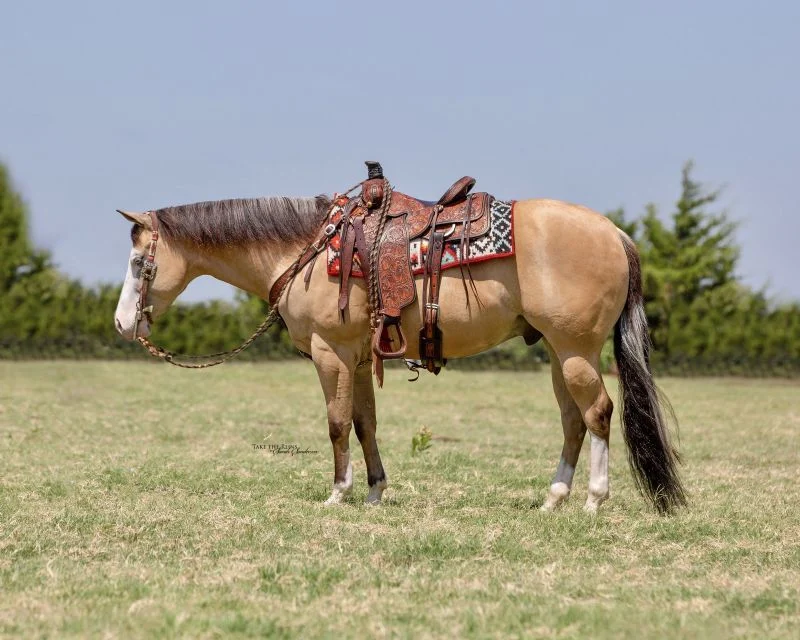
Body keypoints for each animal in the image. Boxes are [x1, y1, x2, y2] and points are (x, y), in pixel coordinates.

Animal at [113, 187, 686, 515]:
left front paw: (338, 493)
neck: (306, 249)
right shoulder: (359, 358)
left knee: (599, 412)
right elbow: (365, 423)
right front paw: (374, 492)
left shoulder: (331, 352)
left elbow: (336, 423)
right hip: (556, 352)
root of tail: (615, 233)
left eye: (141, 264)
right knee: (573, 421)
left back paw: (593, 501)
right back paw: (553, 500)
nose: (122, 323)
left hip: (575, 349)